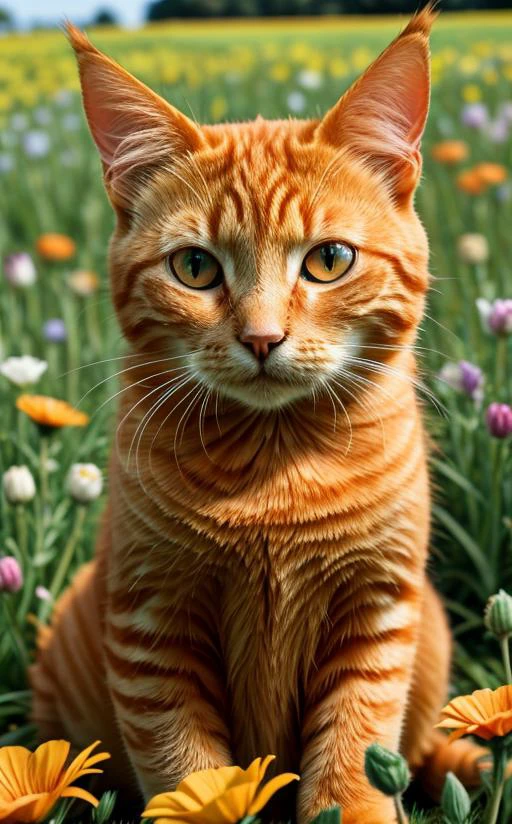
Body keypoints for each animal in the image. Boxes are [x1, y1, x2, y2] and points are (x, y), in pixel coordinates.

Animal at [32, 8, 488, 824]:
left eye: (329, 260)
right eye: (195, 268)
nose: (262, 338)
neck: (275, 474)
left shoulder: (378, 613)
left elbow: (354, 759)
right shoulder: (153, 629)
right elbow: (188, 772)